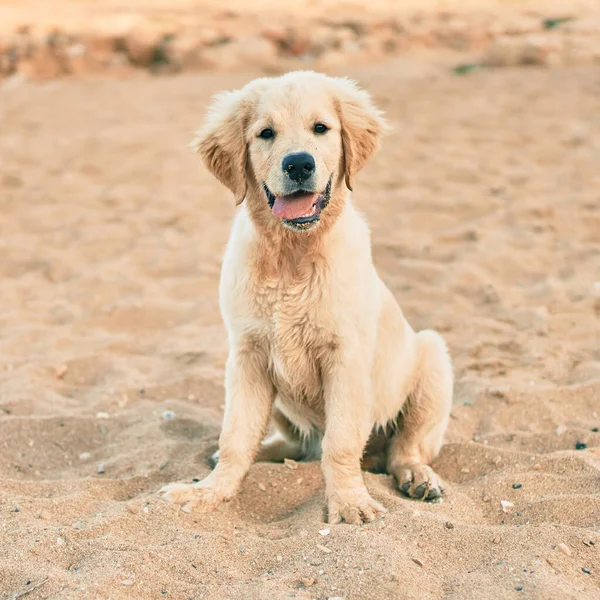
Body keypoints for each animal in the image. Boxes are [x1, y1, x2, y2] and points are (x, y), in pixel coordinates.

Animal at [159, 70, 450, 524]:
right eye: (265, 133)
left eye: (321, 128)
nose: (298, 164)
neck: (290, 258)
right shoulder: (248, 355)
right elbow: (235, 437)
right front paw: (210, 492)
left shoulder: (345, 357)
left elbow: (341, 442)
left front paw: (349, 503)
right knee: (295, 443)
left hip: (433, 357)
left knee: (404, 449)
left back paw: (419, 478)